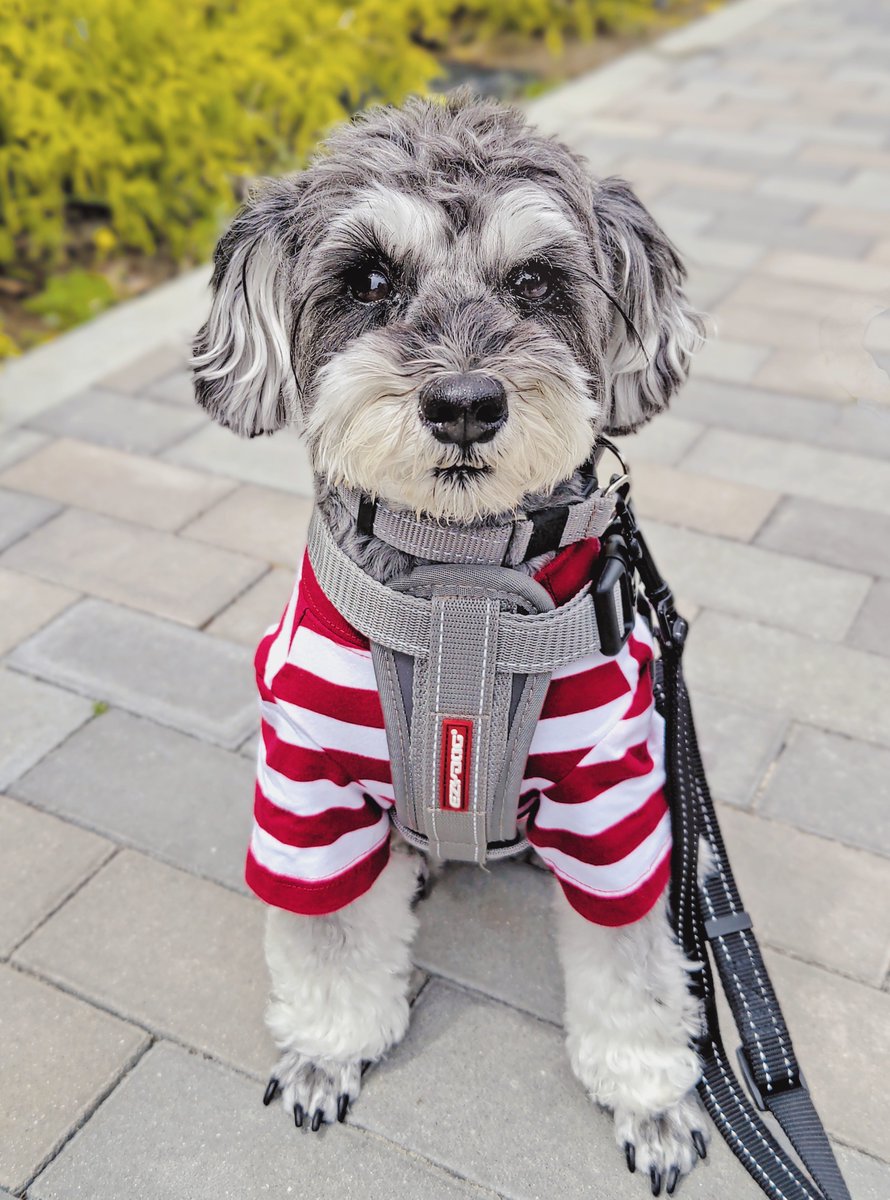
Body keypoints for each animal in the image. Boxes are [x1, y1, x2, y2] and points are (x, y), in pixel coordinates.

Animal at [193, 91, 710, 1190]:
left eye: (535, 282)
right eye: (369, 281)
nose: (465, 404)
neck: (460, 580)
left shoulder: (614, 803)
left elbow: (636, 966)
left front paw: (652, 1098)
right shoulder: (309, 786)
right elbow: (329, 934)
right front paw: (328, 1051)